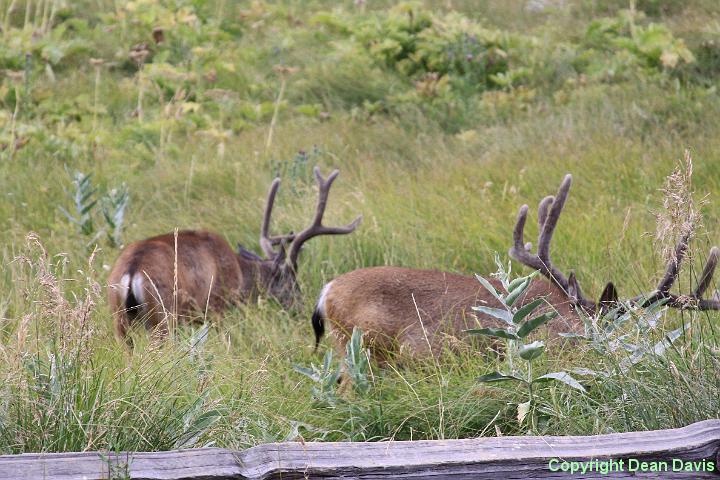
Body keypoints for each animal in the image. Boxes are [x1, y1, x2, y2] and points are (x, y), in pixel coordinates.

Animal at [107, 167, 362, 344]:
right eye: (291, 280)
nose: (301, 307)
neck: (240, 273)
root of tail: (132, 270)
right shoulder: (217, 306)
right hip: (163, 314)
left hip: (119, 319)